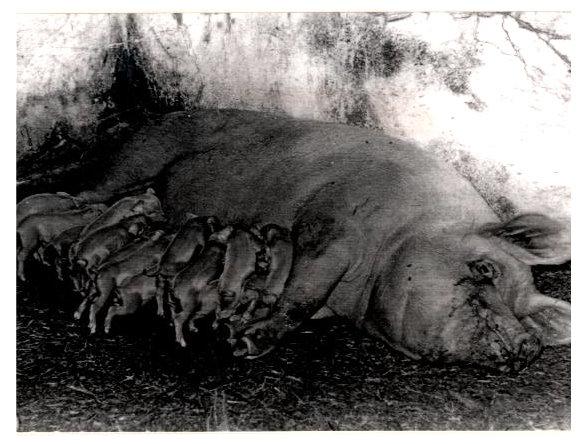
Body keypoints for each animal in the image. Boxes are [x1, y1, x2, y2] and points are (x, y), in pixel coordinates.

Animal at [71, 109, 571, 371]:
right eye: (485, 268)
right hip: (138, 157)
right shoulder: (331, 227)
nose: (528, 345)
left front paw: (240, 330)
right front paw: (241, 341)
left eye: (526, 310)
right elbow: (303, 294)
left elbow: (299, 300)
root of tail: (156, 115)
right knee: (83, 193)